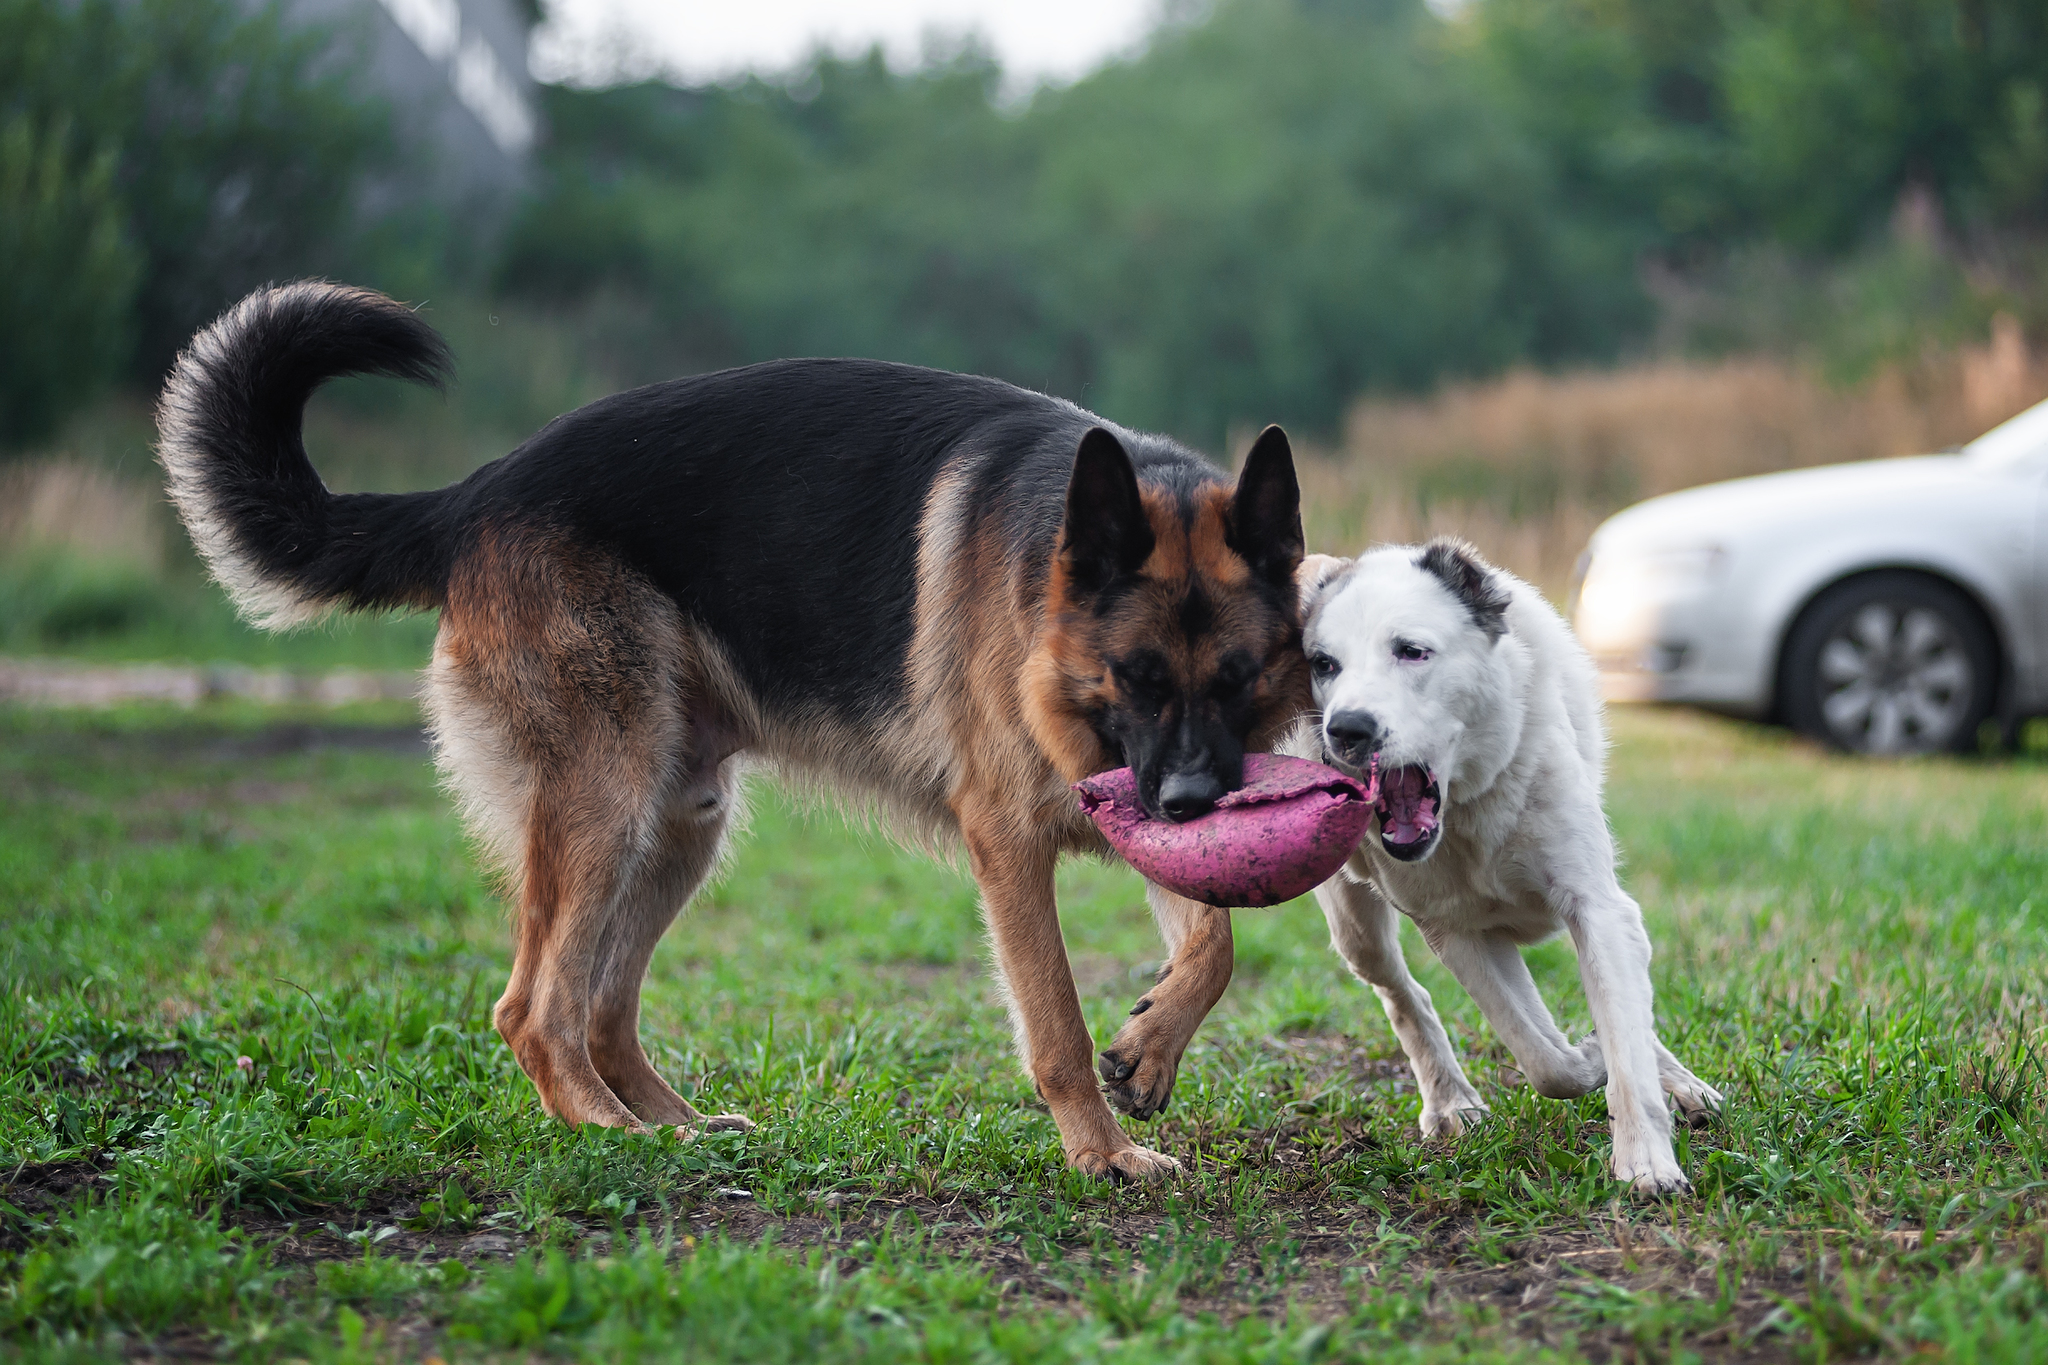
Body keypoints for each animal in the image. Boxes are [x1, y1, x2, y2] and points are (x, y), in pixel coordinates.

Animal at [163, 282, 1310, 1178]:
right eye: (1136, 677)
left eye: (1237, 680)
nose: (1189, 804)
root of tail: (476, 494)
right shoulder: (1011, 842)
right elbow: (1058, 1023)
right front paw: (1100, 1150)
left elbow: (1212, 943)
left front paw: (1150, 1046)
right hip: (607, 802)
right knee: (535, 1009)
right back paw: (614, 1135)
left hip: (680, 823)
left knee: (602, 1008)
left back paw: (680, 1128)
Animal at [1302, 540, 1720, 1186]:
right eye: (1323, 664)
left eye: (1411, 651)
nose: (1346, 730)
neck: (1470, 808)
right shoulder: (1461, 934)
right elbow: (1546, 1059)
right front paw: (1589, 1060)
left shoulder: (1597, 909)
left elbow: (1619, 1040)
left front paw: (1646, 1164)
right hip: (1356, 930)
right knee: (1405, 995)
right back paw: (1450, 1101)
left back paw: (1681, 1085)